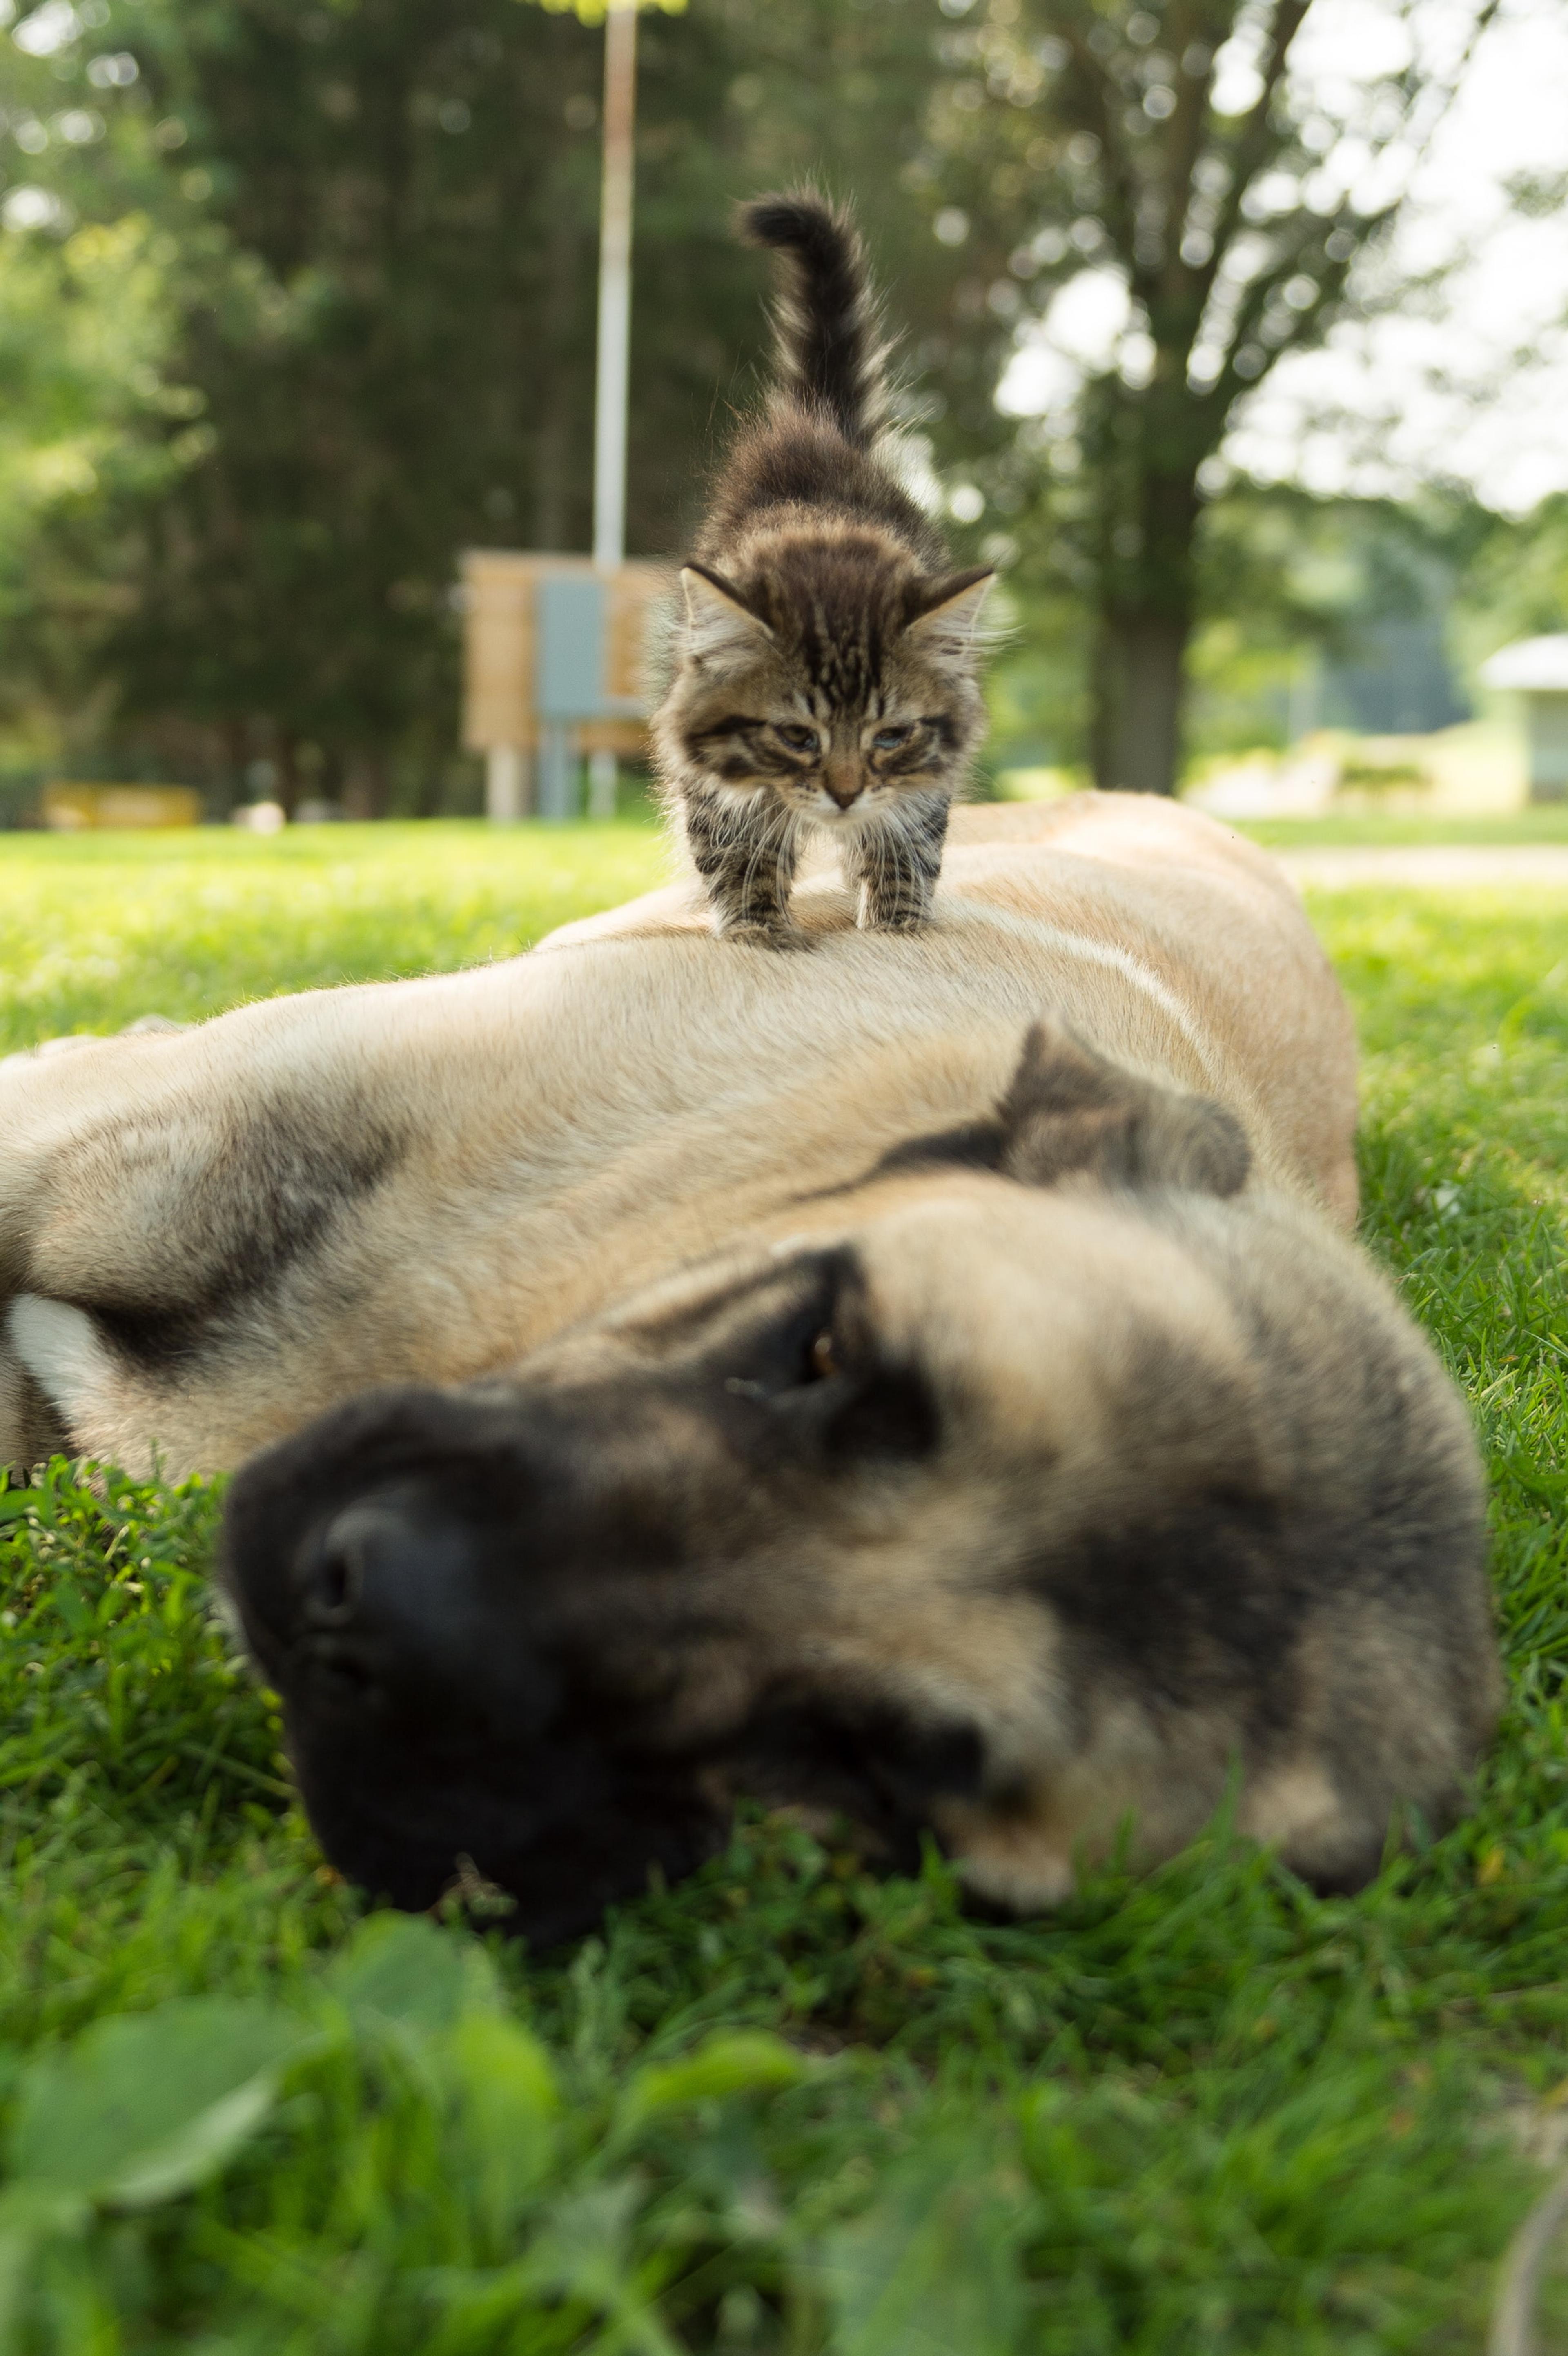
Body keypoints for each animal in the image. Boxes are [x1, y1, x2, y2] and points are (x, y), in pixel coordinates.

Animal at [645, 191, 989, 947]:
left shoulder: (920, 785)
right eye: (797, 736)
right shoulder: (710, 777)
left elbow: (906, 843)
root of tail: (818, 435)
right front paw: (759, 929)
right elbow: (738, 851)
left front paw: (896, 924)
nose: (845, 792)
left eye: (890, 735)